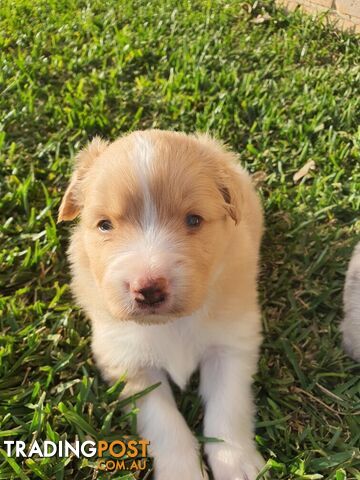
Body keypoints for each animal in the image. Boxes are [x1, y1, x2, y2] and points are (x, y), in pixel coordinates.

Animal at [59, 129, 266, 478]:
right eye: (105, 225)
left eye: (194, 220)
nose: (148, 289)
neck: (172, 324)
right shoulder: (128, 362)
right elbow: (164, 423)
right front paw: (184, 472)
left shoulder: (231, 344)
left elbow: (228, 407)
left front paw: (236, 464)